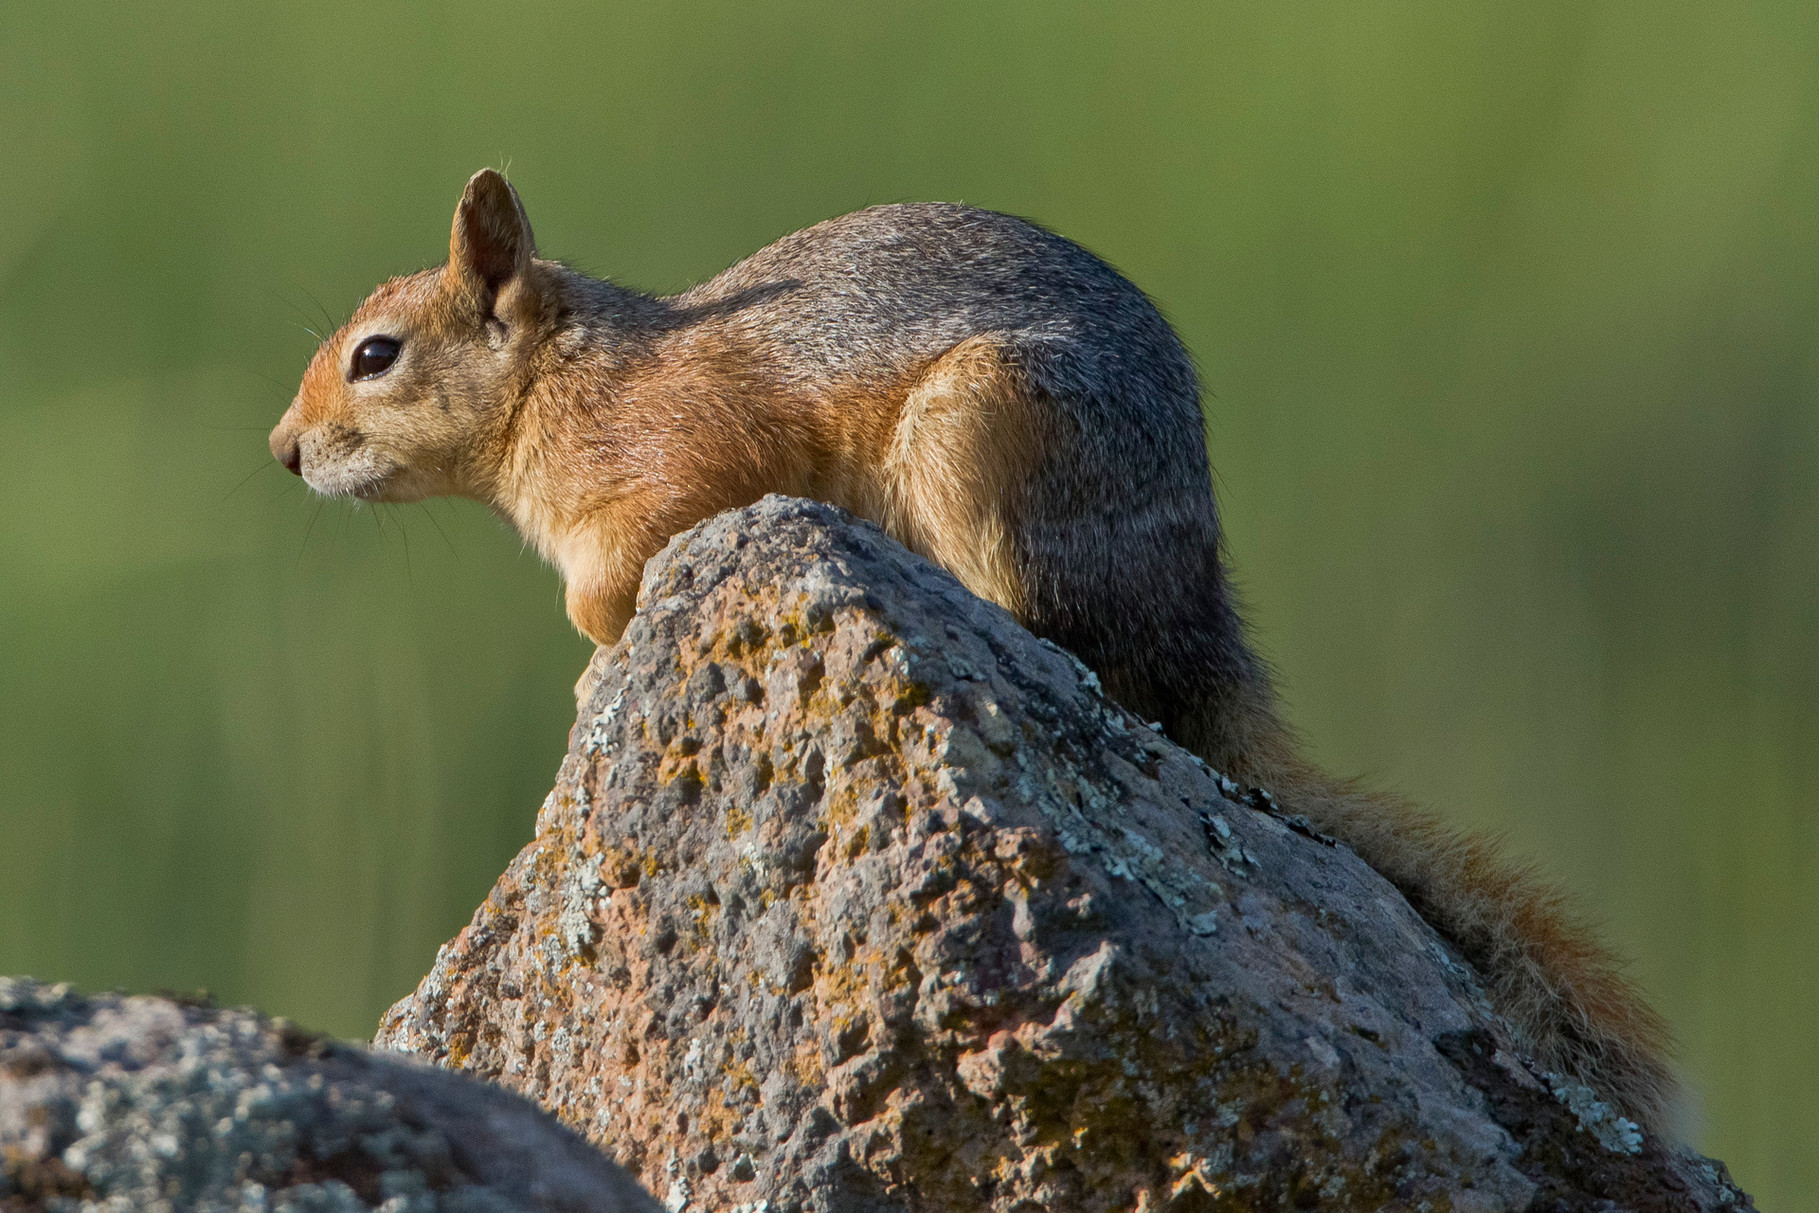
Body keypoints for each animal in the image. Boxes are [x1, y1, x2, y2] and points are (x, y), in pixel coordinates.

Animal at [271, 168, 1674, 1131]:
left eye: (377, 355)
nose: (284, 451)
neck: (569, 386)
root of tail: (1197, 639)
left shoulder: (689, 459)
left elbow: (628, 568)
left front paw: (595, 649)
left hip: (985, 435)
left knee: (1061, 640)